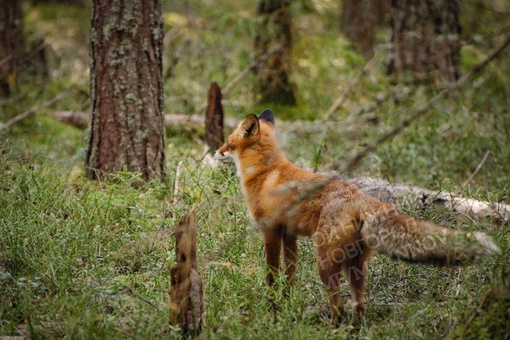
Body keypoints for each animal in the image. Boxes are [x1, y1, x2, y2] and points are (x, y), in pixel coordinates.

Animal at [213, 110, 500, 320]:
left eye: (229, 142)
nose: (216, 151)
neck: (266, 172)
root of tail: (361, 196)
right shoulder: (289, 233)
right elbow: (290, 274)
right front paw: (287, 303)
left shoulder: (270, 229)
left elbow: (272, 274)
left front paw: (273, 305)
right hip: (355, 265)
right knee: (359, 306)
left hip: (325, 263)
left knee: (339, 306)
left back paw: (332, 325)